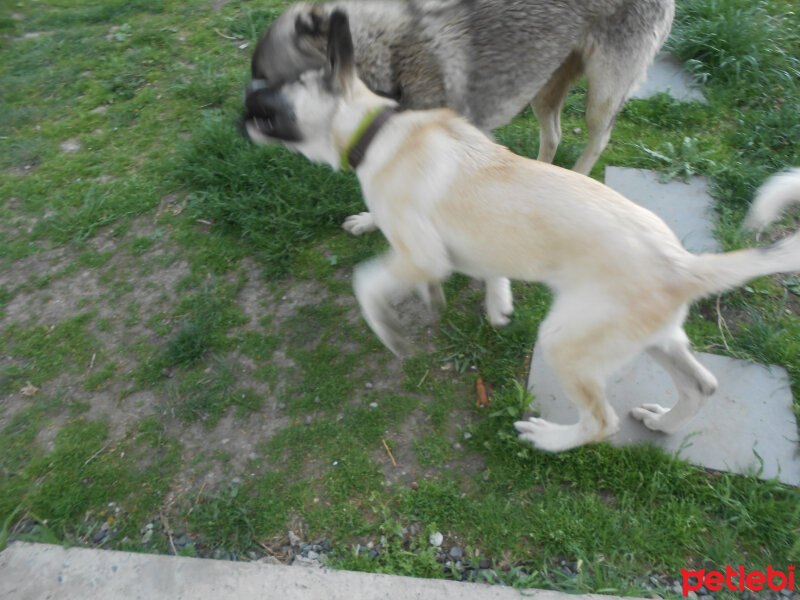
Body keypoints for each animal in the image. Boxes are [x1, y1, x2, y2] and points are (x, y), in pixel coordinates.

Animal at [250, 0, 676, 173]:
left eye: (271, 78)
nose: (248, 118)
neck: (389, 53)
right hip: (542, 89)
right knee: (553, 135)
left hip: (600, 99)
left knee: (598, 139)